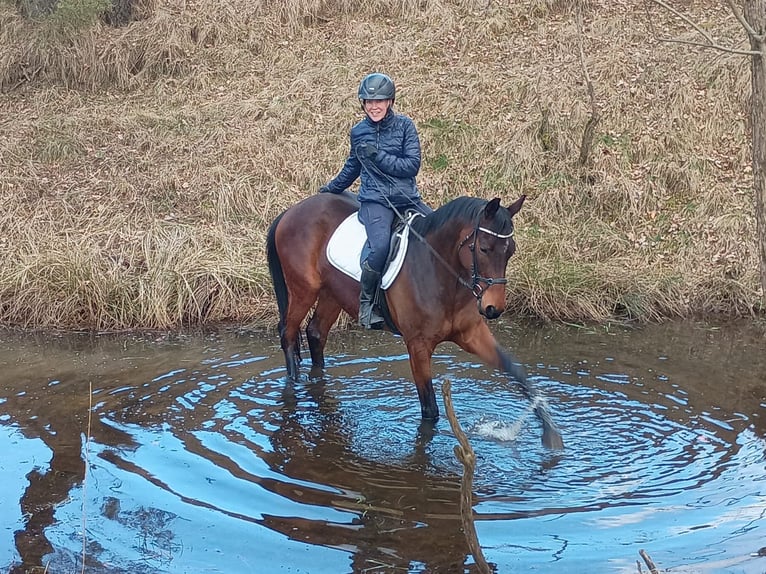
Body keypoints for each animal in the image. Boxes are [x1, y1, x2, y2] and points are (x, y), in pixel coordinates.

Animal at [266, 192, 563, 450]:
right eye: (484, 248)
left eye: (510, 250)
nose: (494, 308)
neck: (441, 272)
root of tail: (292, 211)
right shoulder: (418, 345)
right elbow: (430, 409)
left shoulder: (472, 333)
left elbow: (516, 372)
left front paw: (551, 434)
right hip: (304, 291)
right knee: (288, 334)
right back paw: (293, 386)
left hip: (331, 294)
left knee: (316, 334)